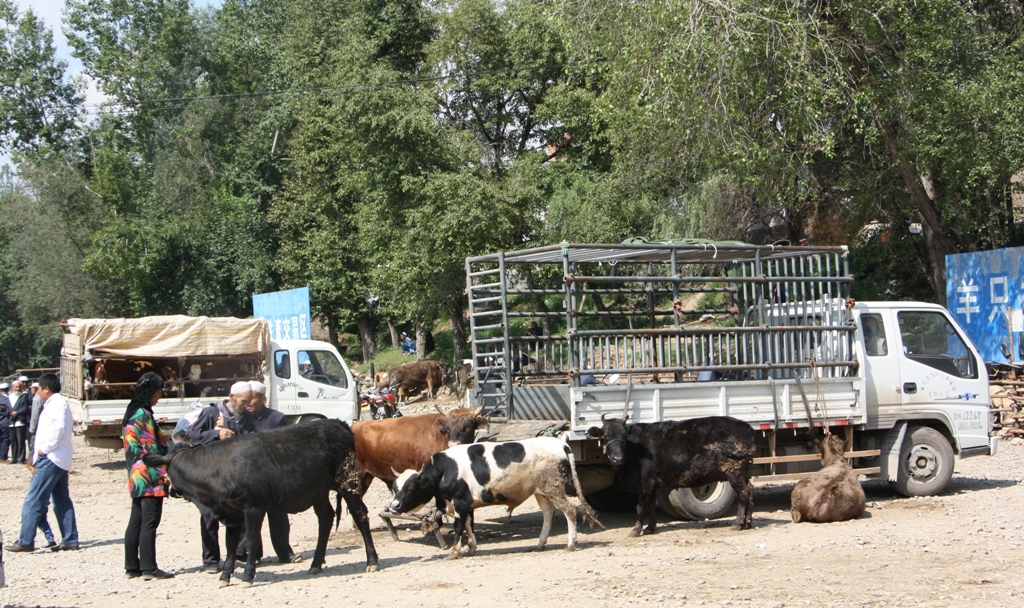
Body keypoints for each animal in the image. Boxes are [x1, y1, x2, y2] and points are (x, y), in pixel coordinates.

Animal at [144, 419, 380, 585]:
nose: (169, 489)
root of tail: (339, 424)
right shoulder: (232, 514)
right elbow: (230, 544)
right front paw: (225, 576)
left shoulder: (254, 508)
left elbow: (251, 541)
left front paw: (248, 576)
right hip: (319, 491)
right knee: (326, 518)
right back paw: (315, 564)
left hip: (348, 483)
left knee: (360, 516)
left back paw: (372, 561)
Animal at [389, 436, 598, 556]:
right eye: (395, 487)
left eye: (411, 487)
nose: (393, 506)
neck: (445, 470)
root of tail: (561, 444)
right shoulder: (466, 504)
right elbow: (468, 525)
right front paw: (472, 547)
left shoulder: (460, 502)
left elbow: (459, 527)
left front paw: (454, 551)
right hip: (543, 492)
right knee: (548, 514)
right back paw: (540, 544)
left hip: (554, 489)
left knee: (569, 511)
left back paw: (571, 544)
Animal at [589, 411, 757, 536]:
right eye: (605, 436)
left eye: (624, 436)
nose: (617, 458)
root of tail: (746, 427)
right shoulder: (652, 484)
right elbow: (650, 505)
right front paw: (650, 528)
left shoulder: (645, 483)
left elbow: (641, 506)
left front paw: (636, 530)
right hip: (743, 471)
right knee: (750, 490)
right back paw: (747, 522)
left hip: (734, 470)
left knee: (743, 493)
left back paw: (738, 523)